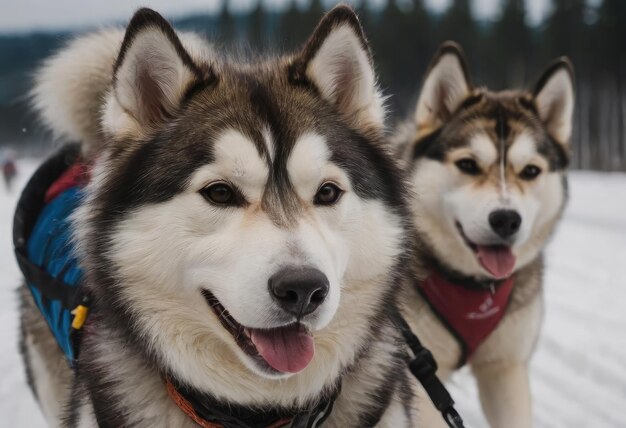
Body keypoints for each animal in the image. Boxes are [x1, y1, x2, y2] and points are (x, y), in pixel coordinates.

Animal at [398, 41, 572, 428]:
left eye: (530, 171)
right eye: (468, 165)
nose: (506, 220)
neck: (475, 287)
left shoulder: (505, 369)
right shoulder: (421, 378)